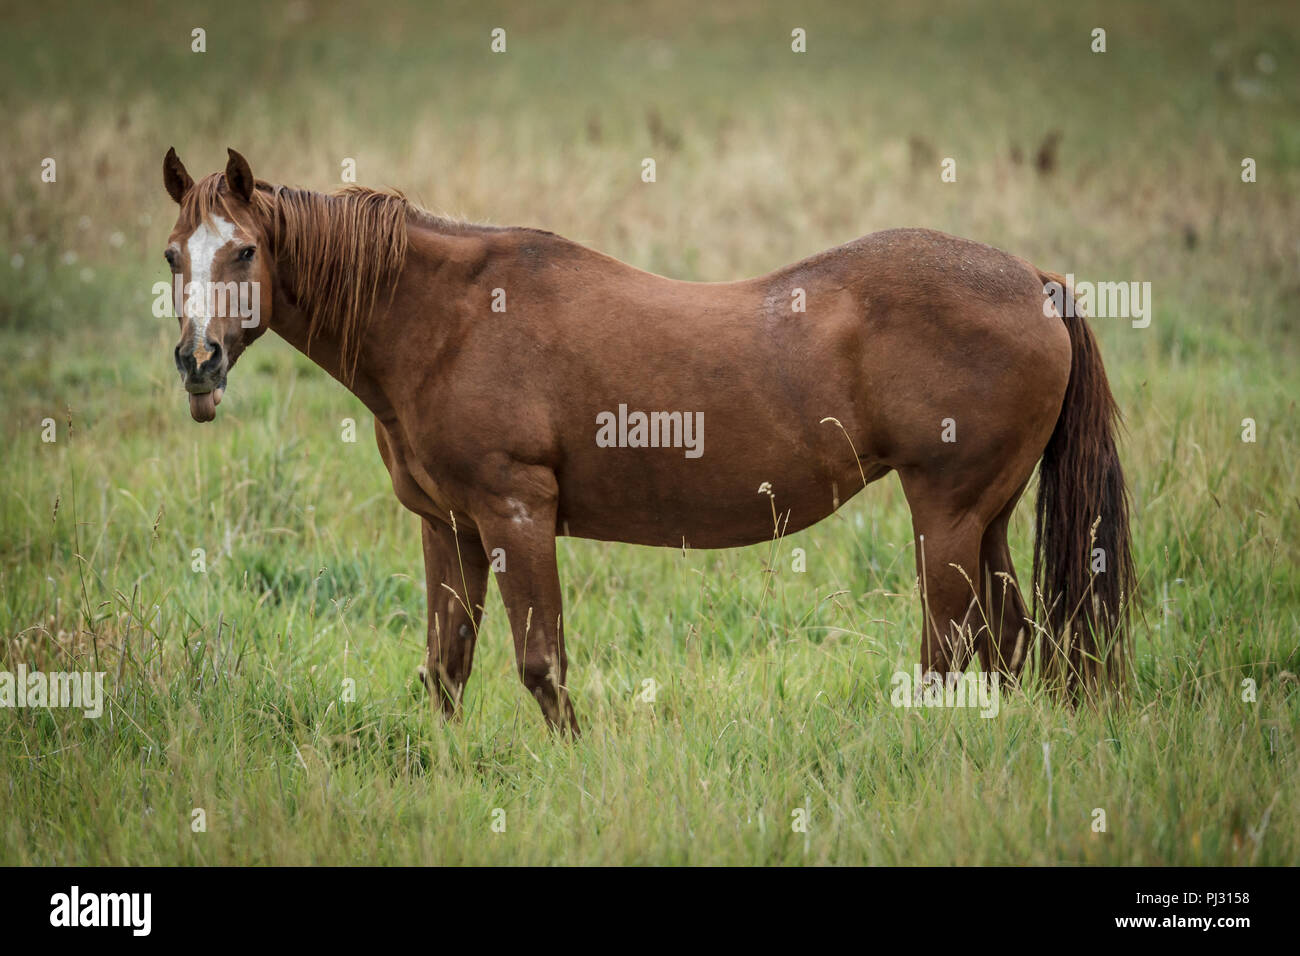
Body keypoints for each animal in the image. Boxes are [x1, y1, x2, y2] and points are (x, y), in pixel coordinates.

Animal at [159, 147, 1138, 733]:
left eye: (244, 252)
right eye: (174, 254)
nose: (198, 362)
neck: (448, 319)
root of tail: (1037, 281)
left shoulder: (516, 515)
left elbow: (541, 664)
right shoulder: (450, 528)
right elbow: (446, 668)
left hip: (947, 514)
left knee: (950, 648)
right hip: (986, 517)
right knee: (1007, 642)